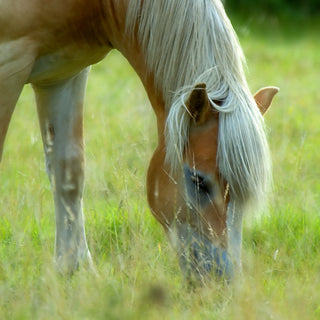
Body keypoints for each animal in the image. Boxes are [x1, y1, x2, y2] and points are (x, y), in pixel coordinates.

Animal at [0, 0, 278, 280]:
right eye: (198, 181)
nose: (223, 280)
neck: (93, 7)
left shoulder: (65, 74)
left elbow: (69, 172)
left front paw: (74, 269)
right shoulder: (9, 64)